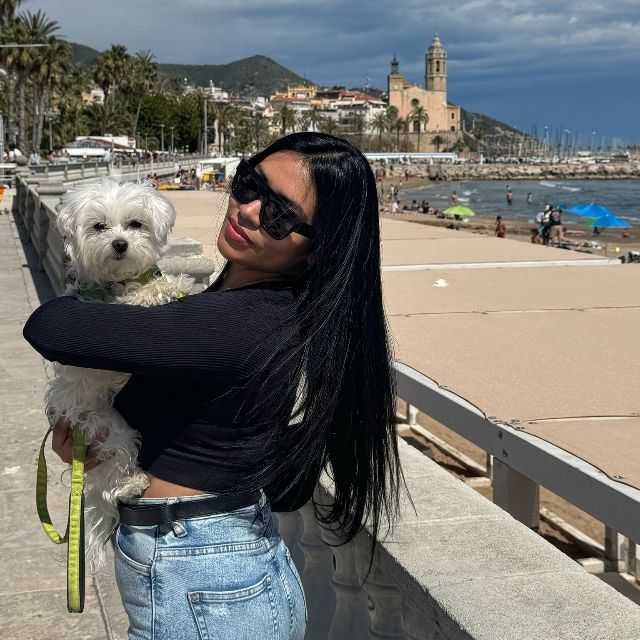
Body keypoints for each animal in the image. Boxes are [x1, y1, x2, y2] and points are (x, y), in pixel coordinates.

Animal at [46, 178, 193, 572]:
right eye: (99, 227)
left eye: (135, 224)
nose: (120, 244)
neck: (119, 282)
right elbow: (134, 301)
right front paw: (159, 290)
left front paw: (173, 282)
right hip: (110, 426)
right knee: (115, 471)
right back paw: (131, 483)